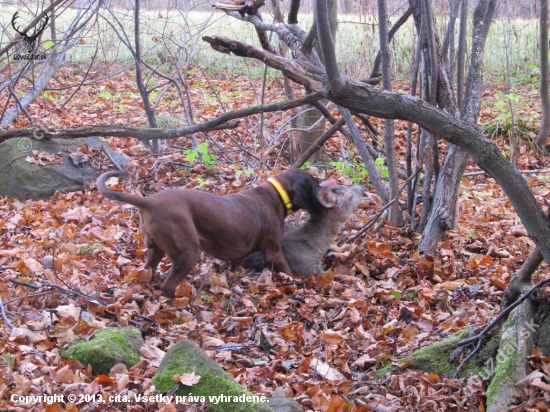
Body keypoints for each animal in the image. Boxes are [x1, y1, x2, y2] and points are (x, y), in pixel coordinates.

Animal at [96, 167, 328, 296]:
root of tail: (148, 202)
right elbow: (288, 272)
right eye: (315, 184)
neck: (275, 195)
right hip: (188, 252)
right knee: (168, 287)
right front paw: (298, 283)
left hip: (156, 251)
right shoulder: (274, 253)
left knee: (149, 272)